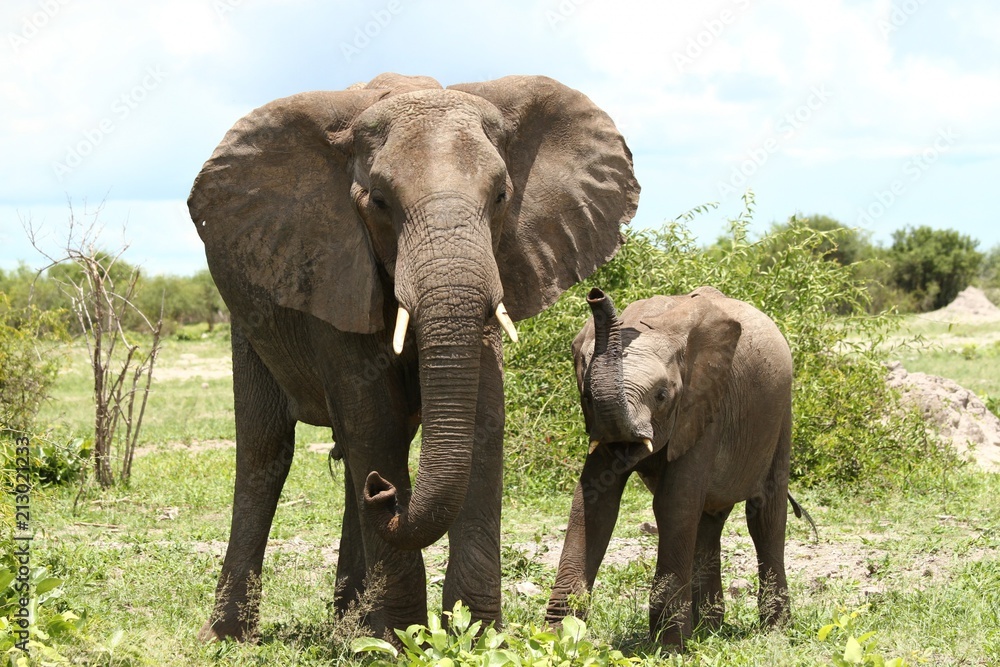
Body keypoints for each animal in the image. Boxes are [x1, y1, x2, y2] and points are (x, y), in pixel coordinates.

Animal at [188, 73, 639, 642]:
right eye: (379, 202)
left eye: (501, 196)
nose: (383, 495)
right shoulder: (334, 266)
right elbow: (371, 420)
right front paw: (403, 640)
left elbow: (482, 421)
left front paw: (476, 636)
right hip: (247, 313)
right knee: (267, 449)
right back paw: (233, 635)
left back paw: (350, 624)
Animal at [544, 286, 793, 648]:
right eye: (587, 397)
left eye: (661, 395)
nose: (595, 294)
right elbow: (592, 501)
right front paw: (554, 640)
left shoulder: (704, 405)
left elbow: (674, 503)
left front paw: (670, 647)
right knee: (708, 520)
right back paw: (709, 631)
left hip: (780, 414)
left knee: (765, 517)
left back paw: (775, 633)